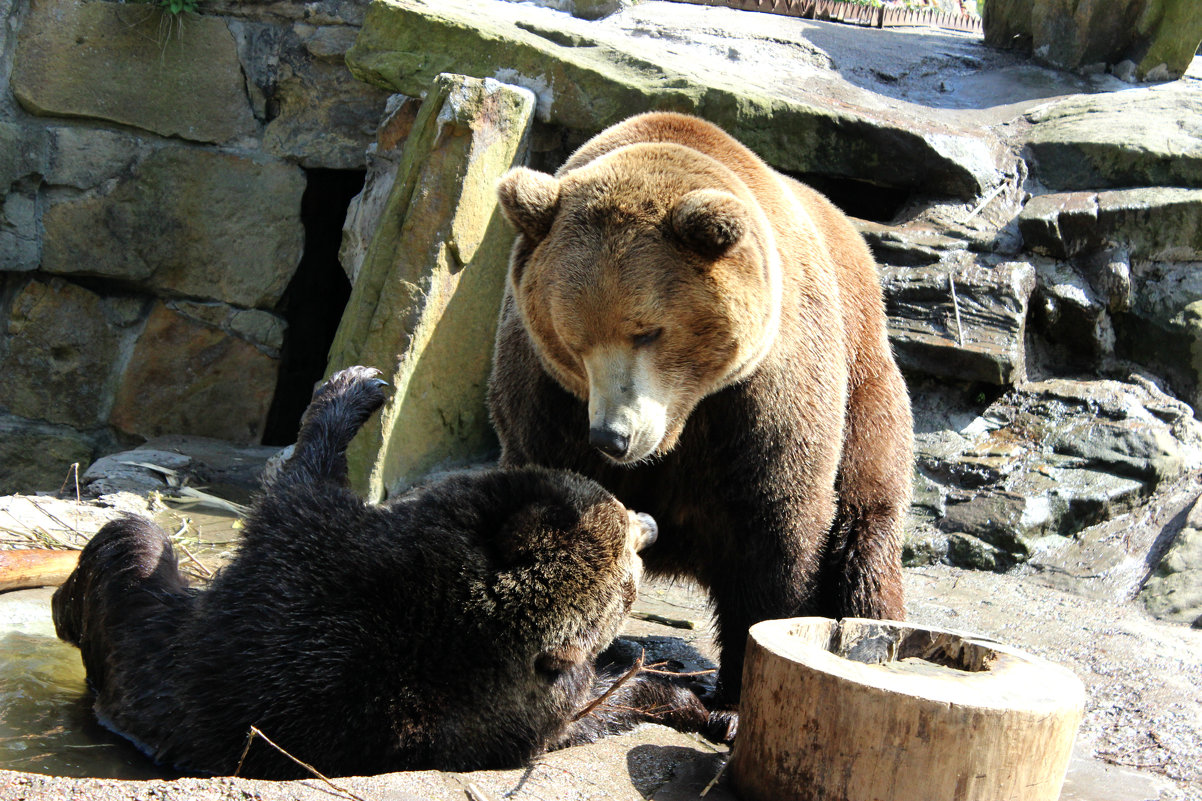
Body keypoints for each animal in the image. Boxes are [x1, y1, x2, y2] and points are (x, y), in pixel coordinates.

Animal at [51, 365, 730, 774]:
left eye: (631, 572)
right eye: (623, 520)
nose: (650, 525)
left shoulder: (317, 560)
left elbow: (302, 480)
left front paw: (352, 388)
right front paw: (680, 679)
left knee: (127, 542)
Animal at [488, 110, 908, 697]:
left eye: (647, 331)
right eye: (573, 339)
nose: (613, 436)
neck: (684, 418)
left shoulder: (764, 394)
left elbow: (777, 522)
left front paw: (736, 688)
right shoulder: (545, 398)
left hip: (865, 379)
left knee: (865, 530)